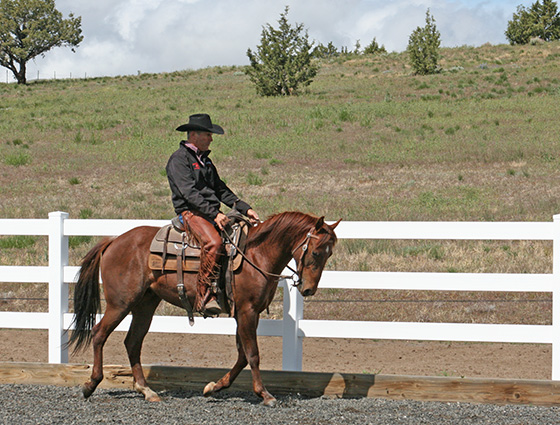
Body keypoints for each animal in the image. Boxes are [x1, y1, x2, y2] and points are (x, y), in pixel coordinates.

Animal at [66, 211, 336, 404]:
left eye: (329, 254)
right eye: (315, 251)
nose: (308, 289)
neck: (256, 254)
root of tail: (114, 241)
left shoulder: (246, 314)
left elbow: (242, 355)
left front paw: (214, 387)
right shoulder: (247, 311)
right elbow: (253, 354)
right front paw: (265, 394)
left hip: (145, 304)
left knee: (133, 342)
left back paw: (147, 391)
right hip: (120, 303)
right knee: (99, 333)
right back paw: (90, 385)